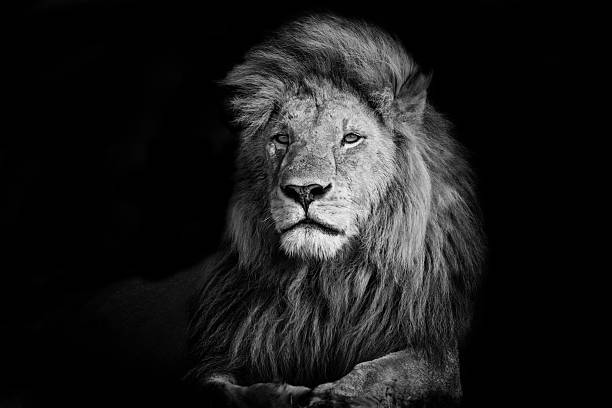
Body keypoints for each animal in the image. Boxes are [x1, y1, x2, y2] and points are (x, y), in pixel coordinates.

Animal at [186, 14, 482, 406]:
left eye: (350, 138)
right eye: (282, 139)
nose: (303, 190)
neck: (325, 282)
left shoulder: (438, 351)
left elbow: (387, 371)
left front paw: (334, 395)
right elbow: (218, 388)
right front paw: (280, 394)